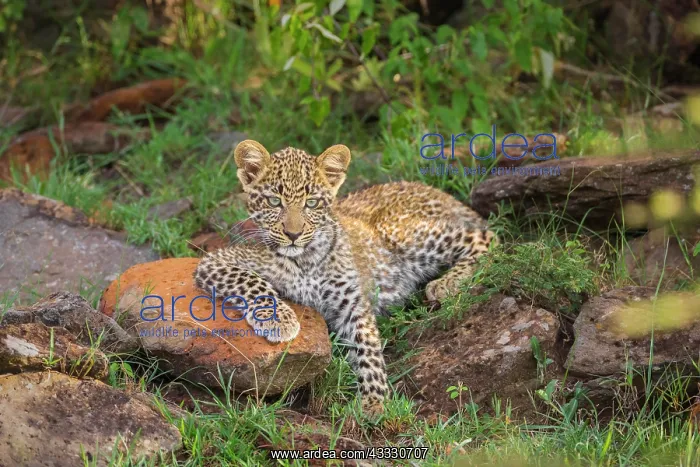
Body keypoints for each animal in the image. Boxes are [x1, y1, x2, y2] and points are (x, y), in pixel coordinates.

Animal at [194, 139, 496, 413]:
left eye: (311, 203)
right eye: (274, 201)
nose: (293, 234)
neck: (304, 260)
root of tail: (431, 189)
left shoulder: (353, 304)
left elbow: (367, 346)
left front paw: (374, 401)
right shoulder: (214, 261)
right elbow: (251, 281)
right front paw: (280, 320)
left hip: (402, 233)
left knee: (486, 236)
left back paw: (446, 283)